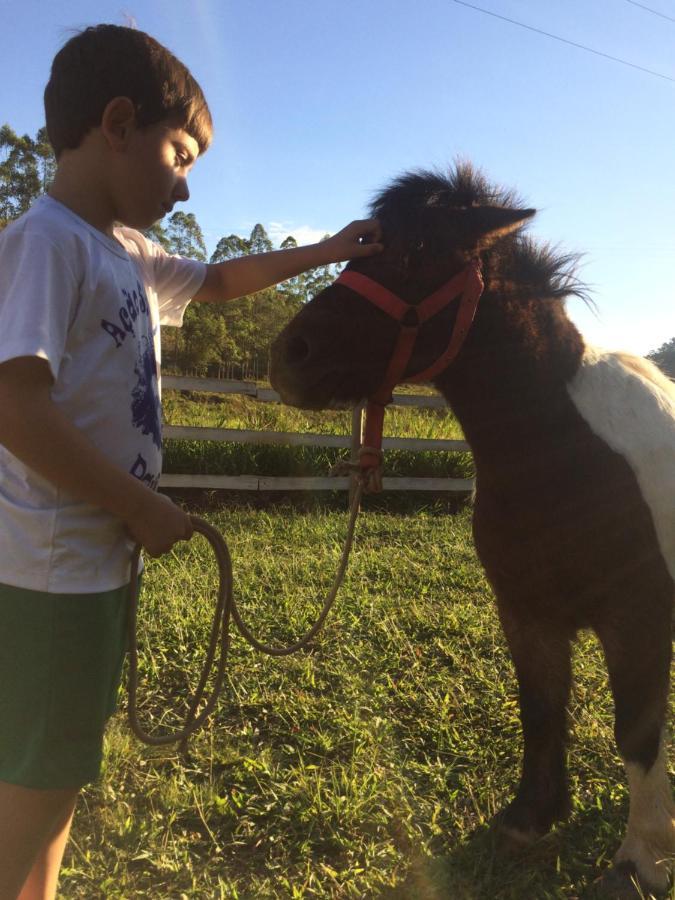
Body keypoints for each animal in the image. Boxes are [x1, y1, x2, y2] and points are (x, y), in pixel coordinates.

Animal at [270, 165, 675, 896]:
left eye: (414, 254)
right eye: (364, 243)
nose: (289, 355)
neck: (564, 454)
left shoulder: (639, 617)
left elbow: (636, 731)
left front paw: (642, 858)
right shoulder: (525, 612)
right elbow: (540, 707)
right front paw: (529, 818)